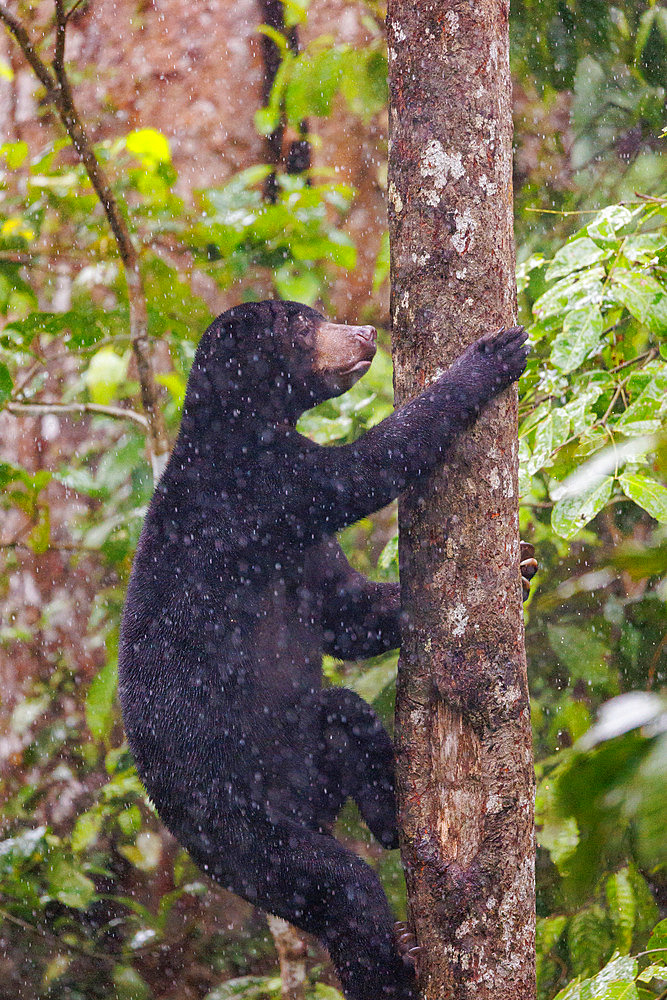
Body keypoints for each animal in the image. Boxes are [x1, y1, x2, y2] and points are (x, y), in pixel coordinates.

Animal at [117, 298, 528, 1000]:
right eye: (304, 325)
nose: (363, 334)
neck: (241, 425)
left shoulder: (298, 548)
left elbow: (344, 614)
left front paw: (524, 566)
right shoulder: (260, 490)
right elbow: (362, 471)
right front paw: (492, 356)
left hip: (301, 756)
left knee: (345, 713)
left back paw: (391, 819)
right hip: (244, 830)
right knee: (339, 891)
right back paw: (398, 963)